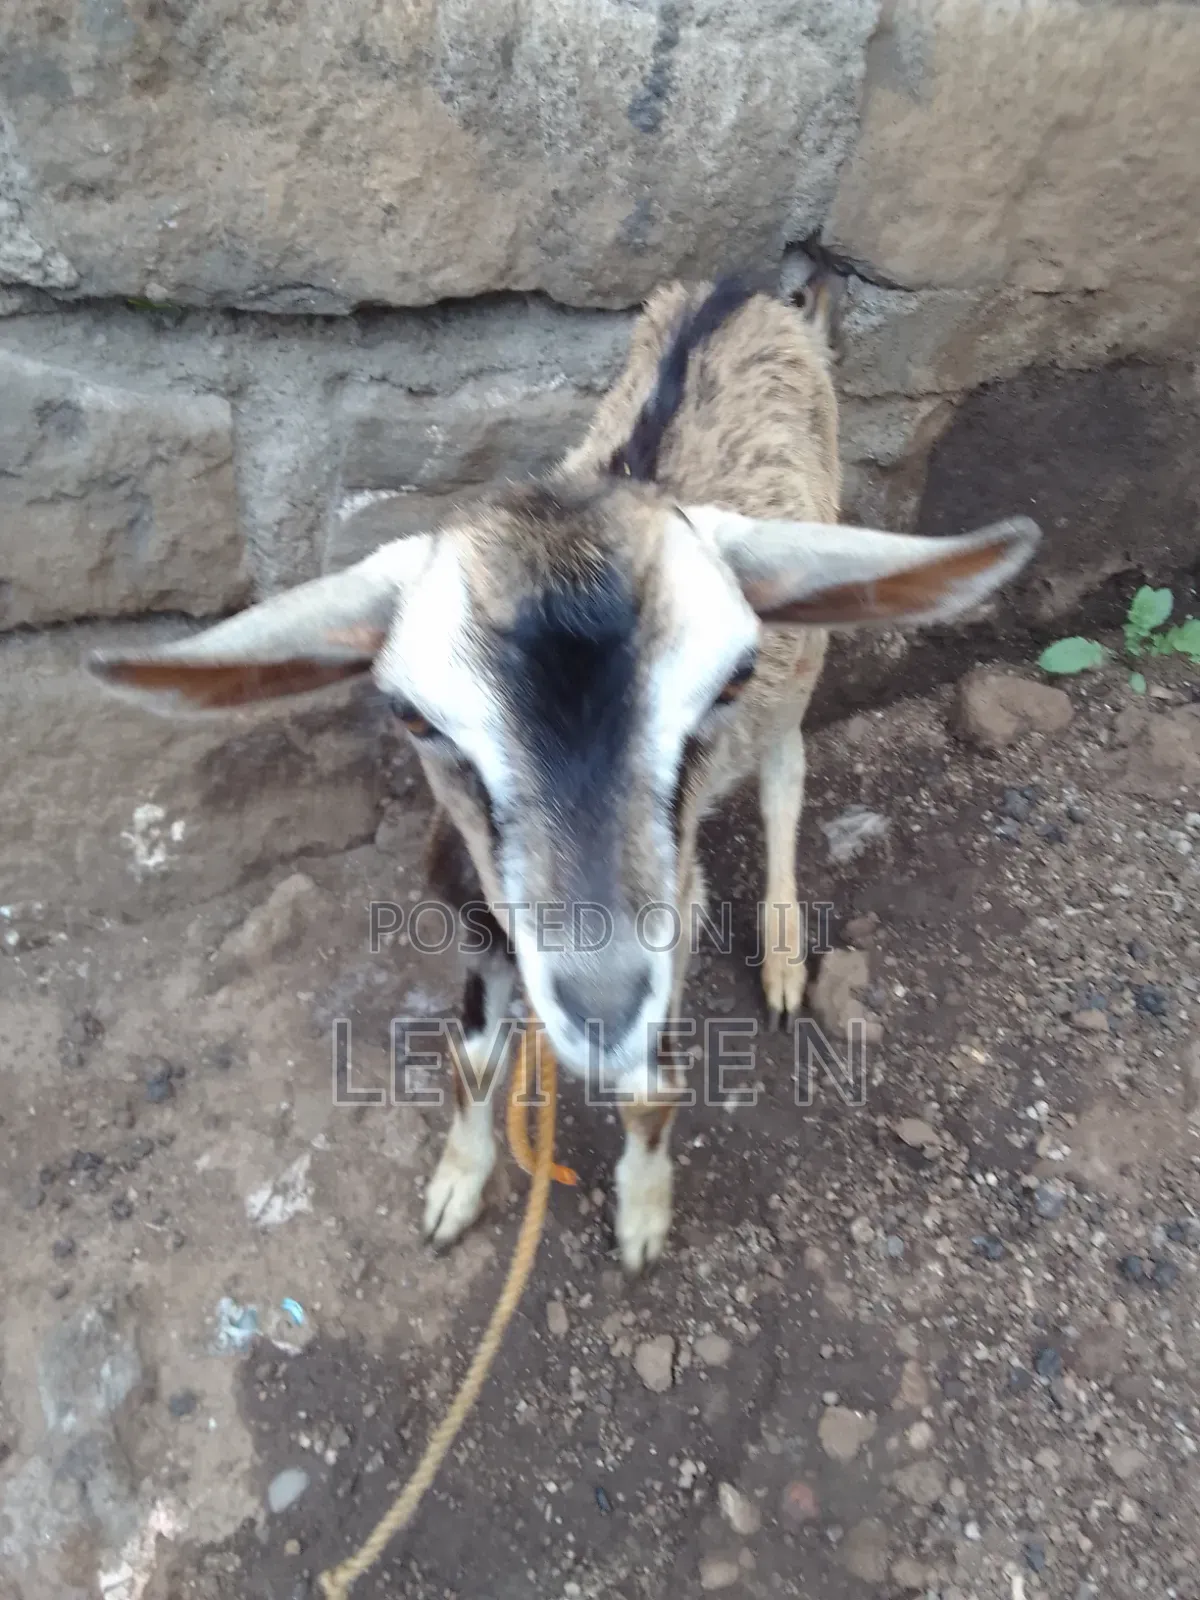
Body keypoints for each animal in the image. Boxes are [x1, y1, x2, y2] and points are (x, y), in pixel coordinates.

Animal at [88, 273, 1040, 1272]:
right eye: (413, 714)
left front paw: (643, 1219)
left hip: (802, 651)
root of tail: (745, 288)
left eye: (727, 678)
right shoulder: (476, 920)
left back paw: (783, 954)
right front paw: (456, 1188)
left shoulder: (674, 919)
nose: (601, 1002)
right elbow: (470, 1064)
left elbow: (652, 1091)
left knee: (786, 771)